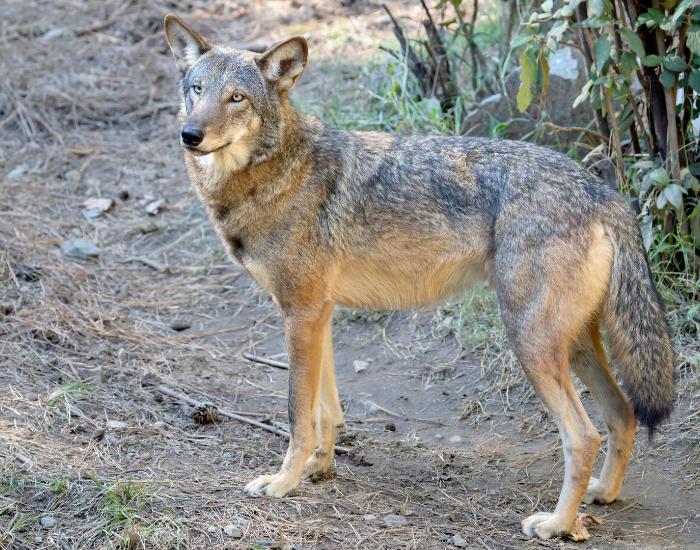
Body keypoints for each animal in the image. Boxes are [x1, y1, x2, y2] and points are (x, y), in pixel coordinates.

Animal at [163, 14, 675, 540]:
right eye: (197, 90)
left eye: (236, 98)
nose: (190, 134)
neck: (277, 170)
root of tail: (605, 192)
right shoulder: (318, 314)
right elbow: (328, 411)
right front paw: (318, 468)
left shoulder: (300, 314)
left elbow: (298, 416)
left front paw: (284, 483)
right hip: (574, 345)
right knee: (624, 414)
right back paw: (603, 494)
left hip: (531, 342)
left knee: (584, 434)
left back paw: (556, 524)